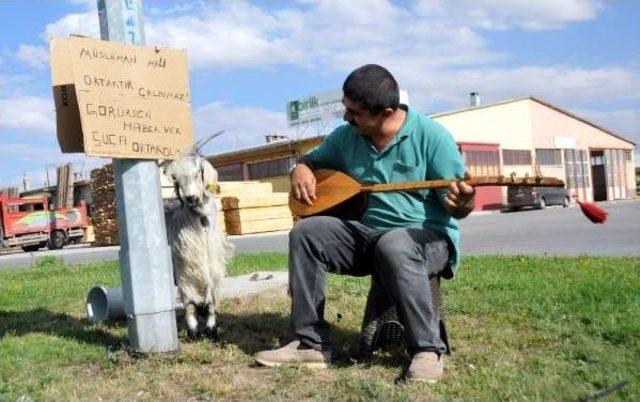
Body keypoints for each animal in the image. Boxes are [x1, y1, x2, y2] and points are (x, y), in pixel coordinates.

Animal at [162, 135, 235, 340]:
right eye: (177, 179)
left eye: (197, 173)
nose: (191, 198)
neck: (201, 221)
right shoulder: (184, 269)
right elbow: (189, 303)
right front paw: (193, 330)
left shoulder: (210, 266)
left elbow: (210, 301)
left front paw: (211, 329)